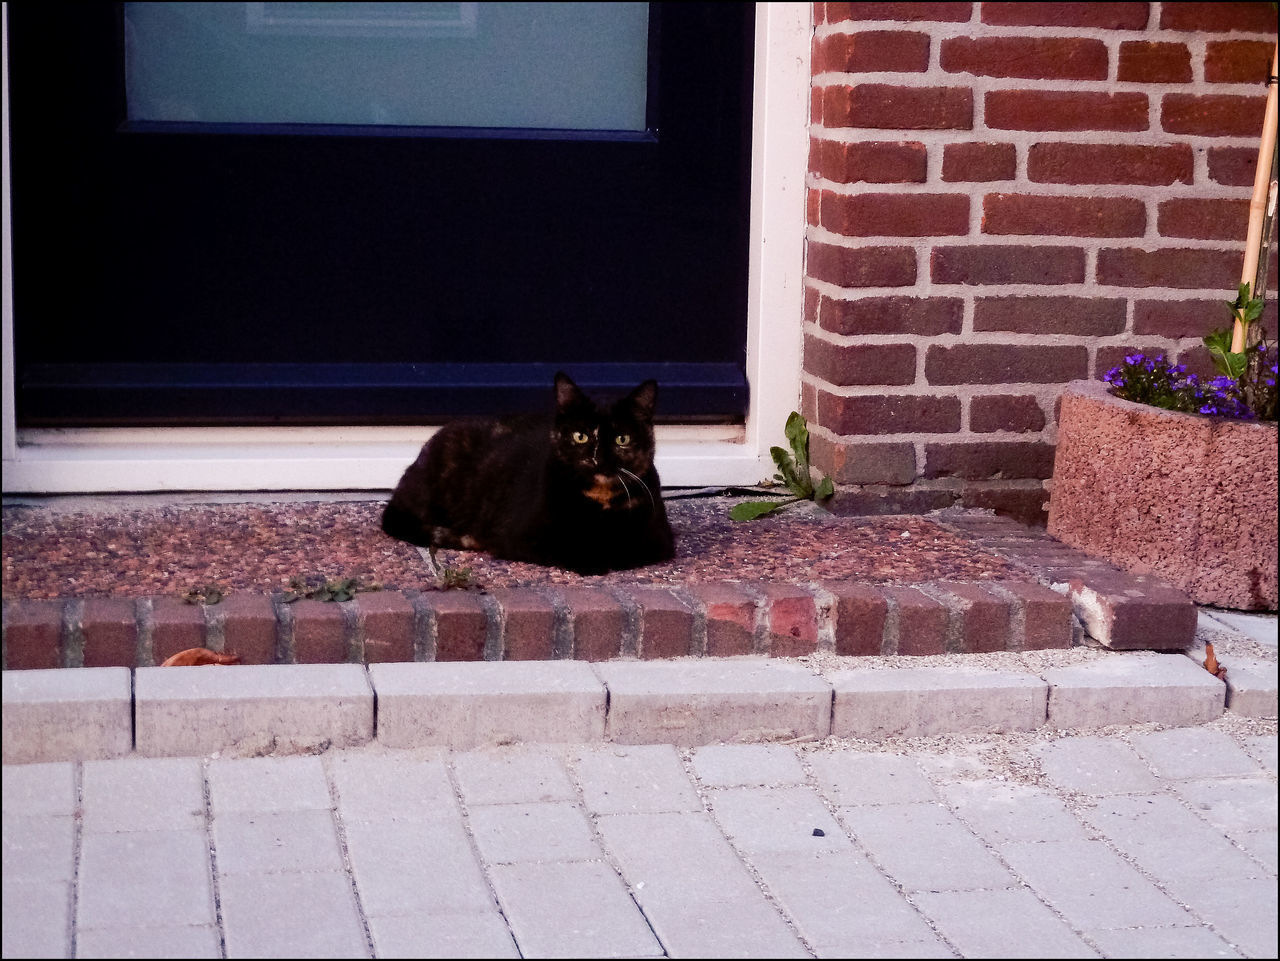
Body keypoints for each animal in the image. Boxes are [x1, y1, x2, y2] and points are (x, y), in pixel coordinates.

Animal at [381, 371, 675, 575]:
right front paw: (593, 559)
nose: (597, 459)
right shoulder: (520, 537)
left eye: (622, 439)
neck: (600, 501)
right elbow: (568, 546)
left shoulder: (657, 541)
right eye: (580, 436)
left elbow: (624, 547)